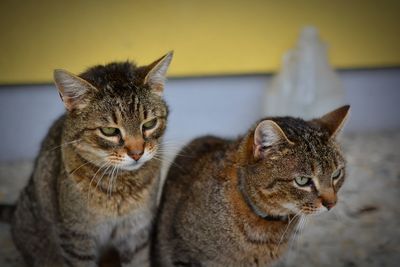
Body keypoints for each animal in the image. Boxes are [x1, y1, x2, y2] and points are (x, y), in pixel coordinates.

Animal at [10, 51, 173, 266]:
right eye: (109, 131)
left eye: (149, 124)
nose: (137, 153)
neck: (121, 187)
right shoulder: (77, 238)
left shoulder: (137, 233)